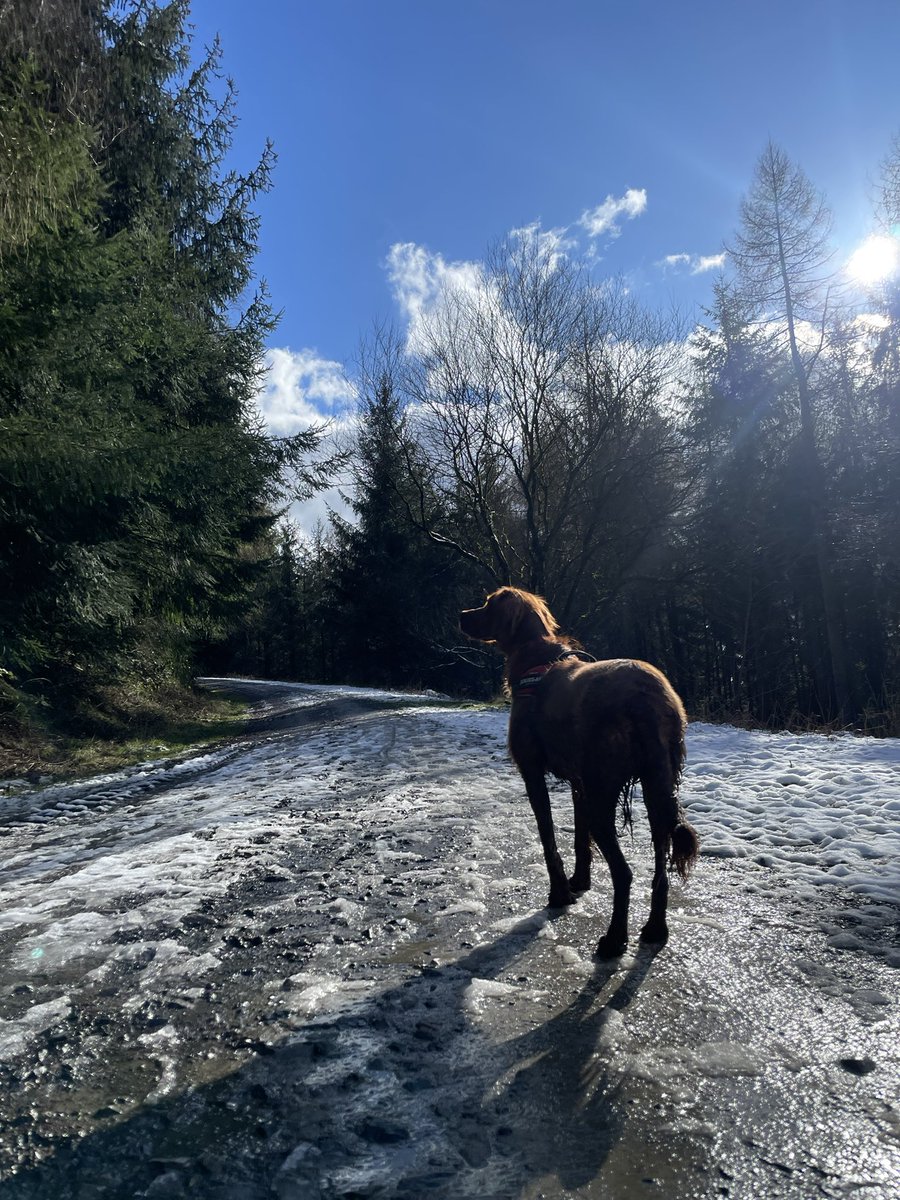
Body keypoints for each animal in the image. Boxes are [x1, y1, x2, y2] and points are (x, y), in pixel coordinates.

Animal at [460, 588, 700, 955]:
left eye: (487, 604)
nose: (461, 615)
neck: (535, 659)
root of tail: (646, 697)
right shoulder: (579, 782)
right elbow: (579, 838)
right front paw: (580, 881)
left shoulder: (532, 771)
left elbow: (549, 838)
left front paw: (559, 893)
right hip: (657, 785)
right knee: (661, 867)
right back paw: (655, 929)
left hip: (605, 791)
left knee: (624, 872)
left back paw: (615, 939)